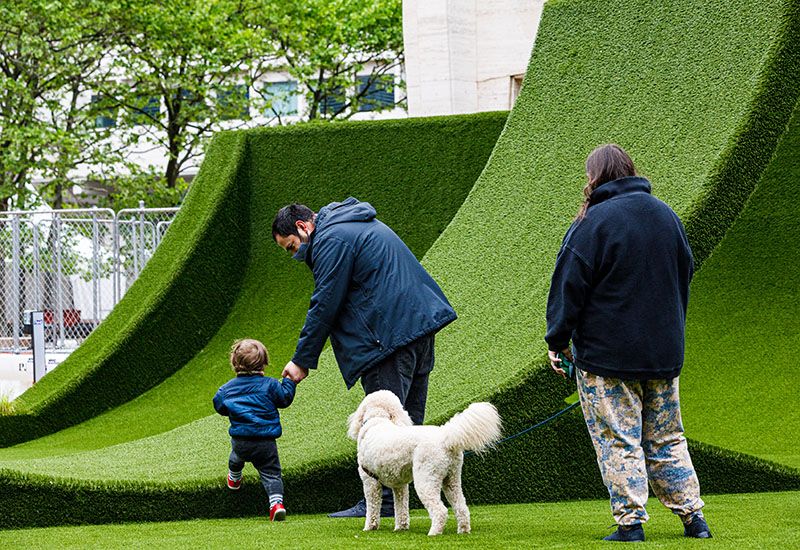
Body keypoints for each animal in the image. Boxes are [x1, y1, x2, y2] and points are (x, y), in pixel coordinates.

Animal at [348, 390, 500, 536]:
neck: (378, 419)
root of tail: (445, 438)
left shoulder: (370, 481)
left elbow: (372, 508)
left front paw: (369, 527)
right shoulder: (399, 485)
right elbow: (401, 508)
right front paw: (401, 528)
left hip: (426, 478)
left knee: (440, 511)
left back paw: (433, 533)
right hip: (452, 479)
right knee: (461, 507)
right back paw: (463, 530)